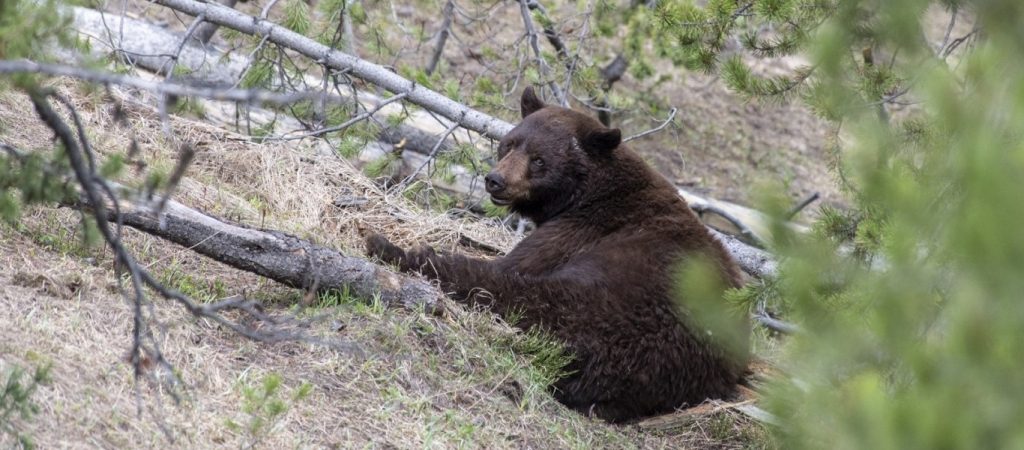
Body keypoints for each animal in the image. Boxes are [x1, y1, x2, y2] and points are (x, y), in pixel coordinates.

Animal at [364, 87, 749, 422]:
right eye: (509, 143)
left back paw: (393, 248)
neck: (587, 194)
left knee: (509, 288)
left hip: (607, 293)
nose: (495, 180)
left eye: (539, 160)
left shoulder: (579, 230)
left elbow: (516, 263)